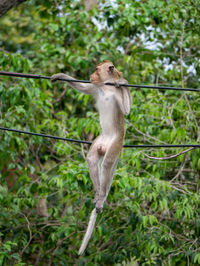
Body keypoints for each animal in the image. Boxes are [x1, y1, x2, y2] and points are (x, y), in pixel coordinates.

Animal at [50, 60, 131, 256]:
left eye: (96, 69)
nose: (92, 75)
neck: (106, 87)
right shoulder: (96, 87)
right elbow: (83, 87)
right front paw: (60, 76)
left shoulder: (114, 92)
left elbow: (126, 110)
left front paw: (123, 81)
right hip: (100, 141)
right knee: (93, 159)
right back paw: (97, 192)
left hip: (115, 143)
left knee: (108, 163)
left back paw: (101, 196)